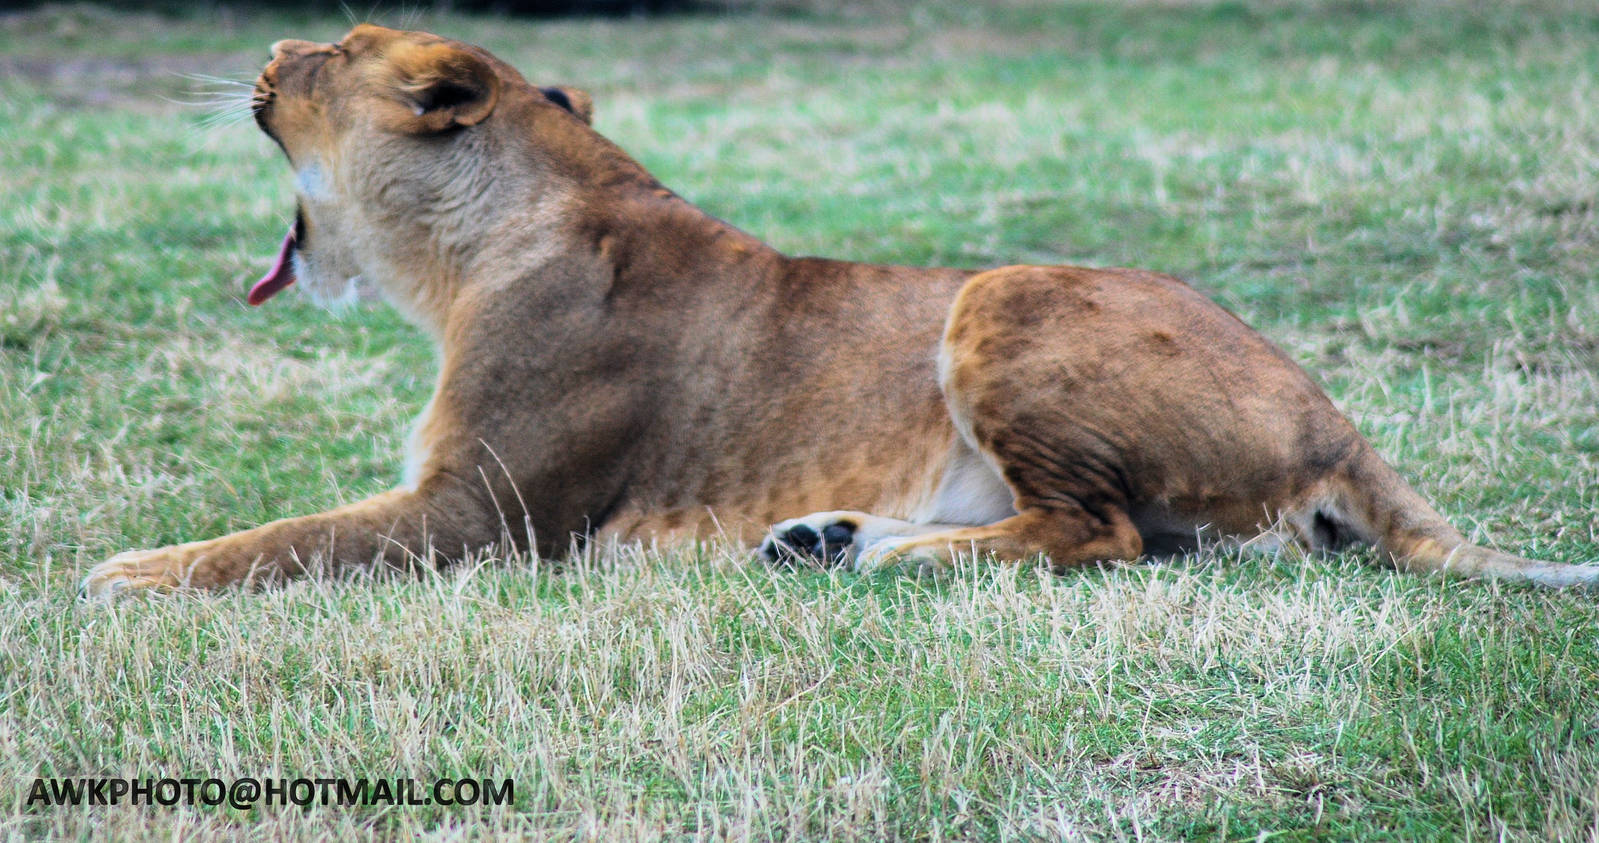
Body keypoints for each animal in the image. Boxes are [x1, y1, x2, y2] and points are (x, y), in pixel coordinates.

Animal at [80, 24, 1597, 596]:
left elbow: (276, 541)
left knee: (1096, 534)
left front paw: (125, 573)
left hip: (1002, 291)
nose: (274, 44)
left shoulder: (479, 517)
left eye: (332, 53)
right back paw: (823, 537)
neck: (459, 256)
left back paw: (879, 553)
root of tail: (1334, 416)